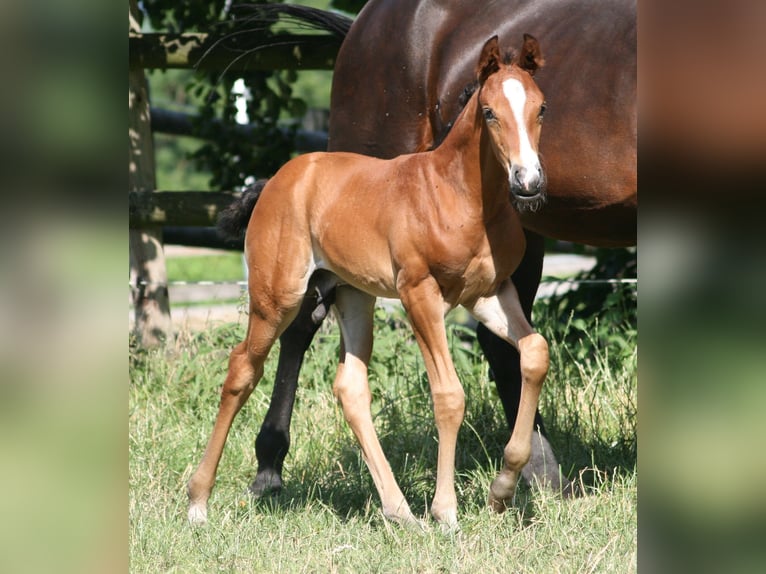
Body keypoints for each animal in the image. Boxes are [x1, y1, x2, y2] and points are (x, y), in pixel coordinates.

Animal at [190, 37, 556, 532]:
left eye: (541, 108)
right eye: (489, 112)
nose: (528, 182)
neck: (459, 195)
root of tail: (276, 180)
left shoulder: (489, 292)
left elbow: (534, 352)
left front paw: (501, 491)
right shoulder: (419, 293)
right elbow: (449, 395)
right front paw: (446, 511)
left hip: (353, 296)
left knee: (350, 388)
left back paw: (399, 511)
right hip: (277, 298)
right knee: (242, 369)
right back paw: (198, 501)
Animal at [250, 0, 636, 500]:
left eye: (544, 109)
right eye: (488, 112)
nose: (530, 181)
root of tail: (362, 23)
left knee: (506, 347)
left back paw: (534, 475)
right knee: (301, 320)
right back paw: (269, 467)